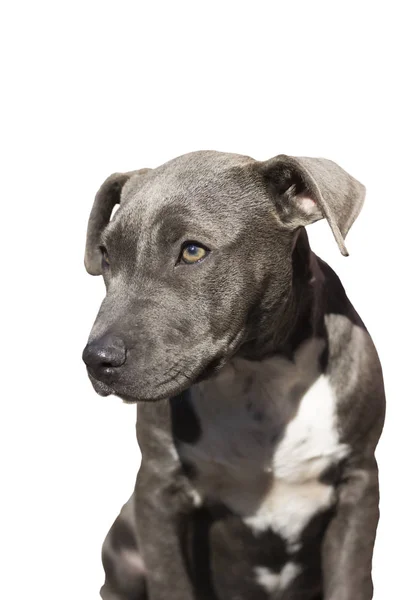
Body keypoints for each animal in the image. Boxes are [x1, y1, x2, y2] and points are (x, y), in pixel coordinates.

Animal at [83, 151, 386, 600]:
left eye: (192, 251)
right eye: (105, 255)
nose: (96, 359)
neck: (257, 373)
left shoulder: (359, 485)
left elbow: (350, 580)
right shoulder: (158, 490)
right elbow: (171, 582)